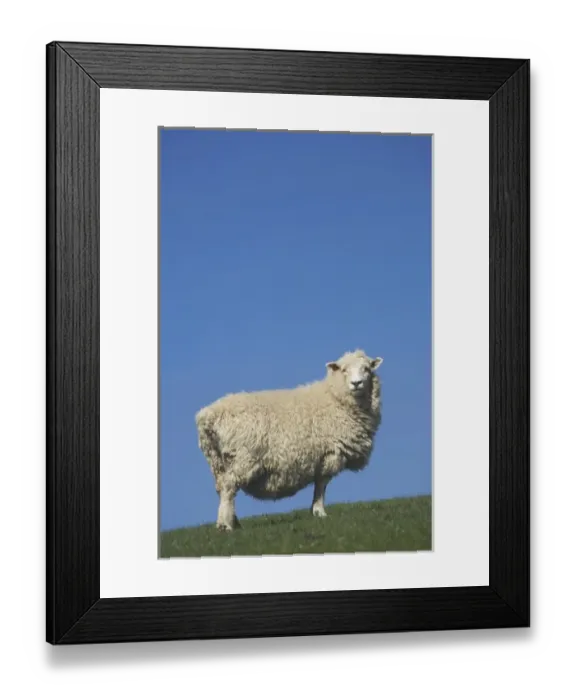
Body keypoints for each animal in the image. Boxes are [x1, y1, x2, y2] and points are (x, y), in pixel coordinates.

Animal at [195, 349, 383, 531]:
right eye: (344, 370)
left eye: (367, 369)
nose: (356, 383)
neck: (334, 398)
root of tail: (208, 415)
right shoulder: (330, 452)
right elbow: (322, 483)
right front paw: (319, 511)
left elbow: (319, 483)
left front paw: (315, 510)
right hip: (243, 457)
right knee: (228, 487)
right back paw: (225, 525)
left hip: (217, 461)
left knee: (222, 487)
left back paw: (234, 522)